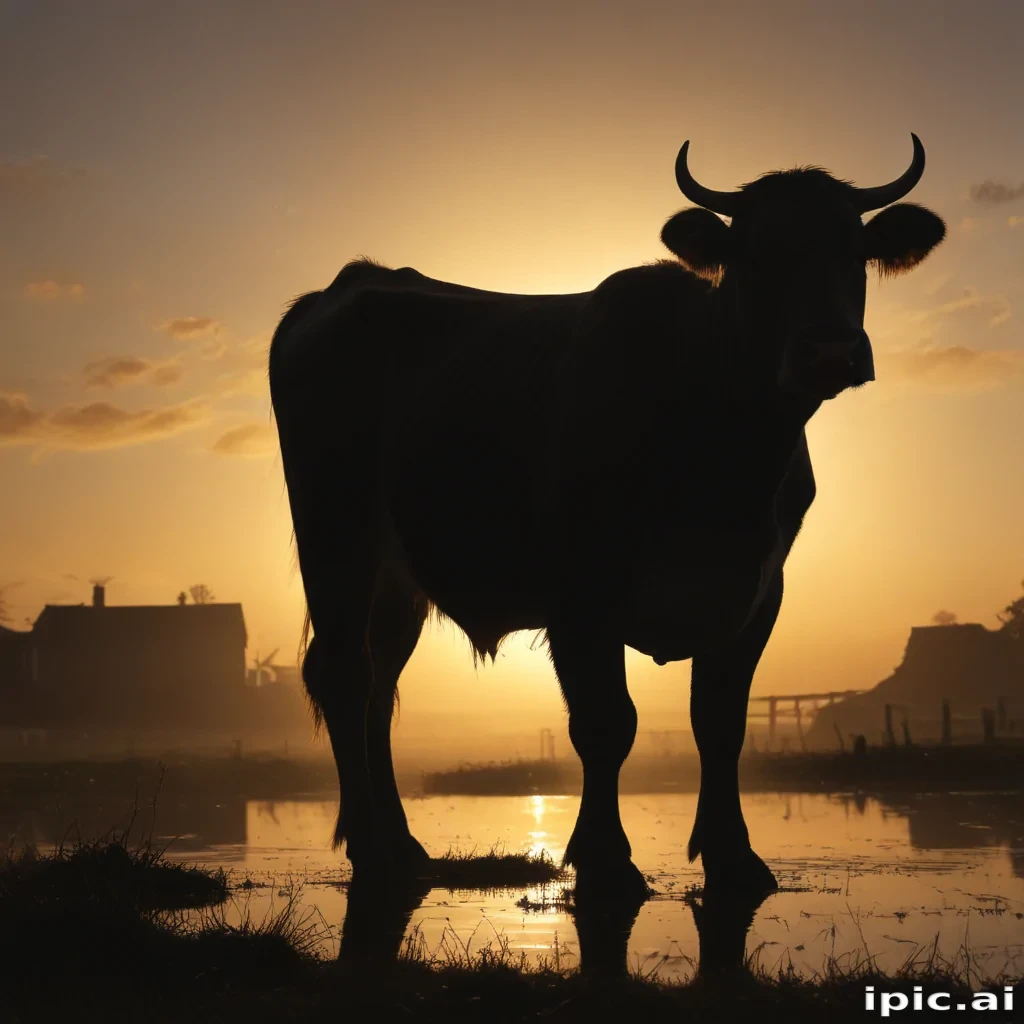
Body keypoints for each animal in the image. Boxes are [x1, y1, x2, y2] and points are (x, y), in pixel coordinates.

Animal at [269, 136, 945, 900]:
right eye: (756, 256)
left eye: (853, 251)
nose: (829, 351)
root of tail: (346, 286)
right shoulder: (580, 594)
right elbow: (606, 724)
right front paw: (605, 859)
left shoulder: (757, 590)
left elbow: (720, 723)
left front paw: (734, 858)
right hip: (334, 536)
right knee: (344, 675)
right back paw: (373, 852)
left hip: (398, 574)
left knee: (380, 687)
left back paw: (403, 845)